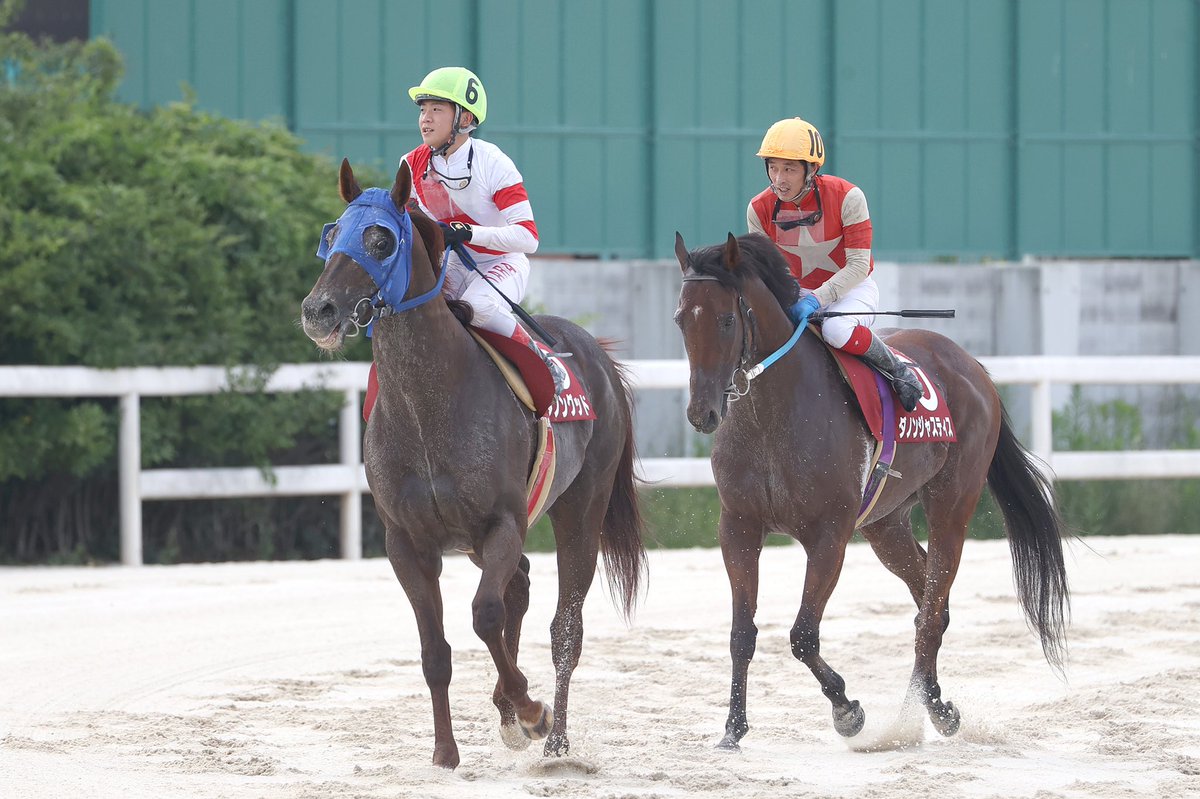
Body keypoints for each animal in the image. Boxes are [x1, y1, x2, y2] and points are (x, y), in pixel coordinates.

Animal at [300, 160, 648, 767]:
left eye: (380, 239)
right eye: (331, 233)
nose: (319, 311)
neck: (427, 404)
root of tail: (599, 356)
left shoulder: (501, 523)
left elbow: (485, 614)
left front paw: (530, 711)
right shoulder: (407, 542)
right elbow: (435, 649)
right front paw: (447, 752)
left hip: (581, 510)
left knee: (565, 627)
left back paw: (554, 738)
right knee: (521, 587)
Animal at [672, 229, 1075, 748]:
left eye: (725, 319)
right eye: (681, 319)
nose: (702, 413)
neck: (771, 415)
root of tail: (973, 366)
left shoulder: (829, 535)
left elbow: (802, 635)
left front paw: (847, 710)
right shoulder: (738, 527)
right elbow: (742, 633)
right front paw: (733, 730)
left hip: (951, 506)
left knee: (932, 607)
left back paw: (913, 717)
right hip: (886, 525)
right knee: (930, 603)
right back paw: (936, 705)